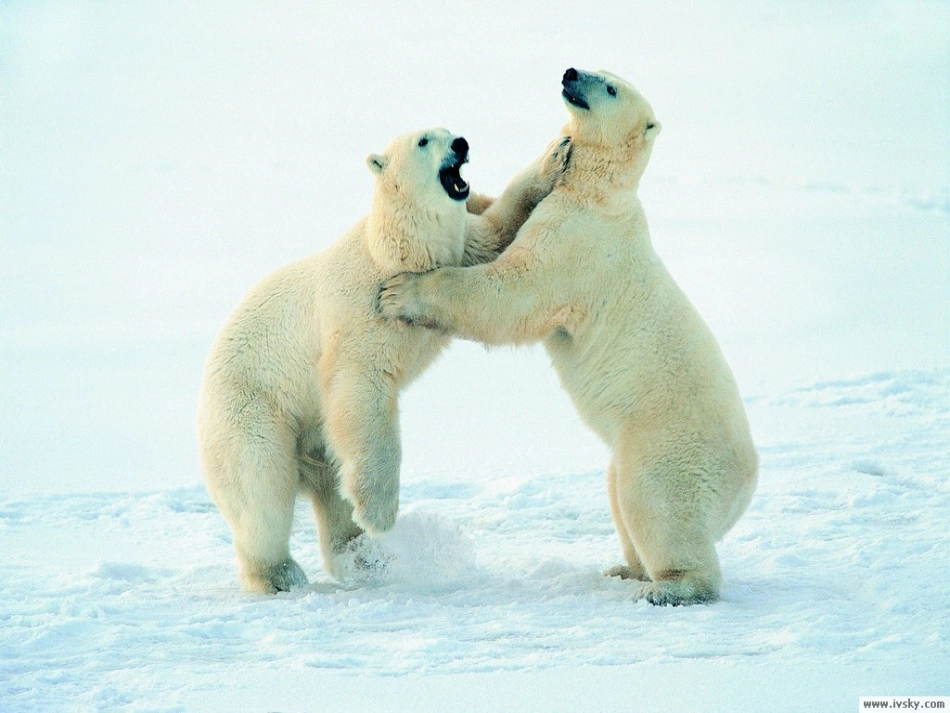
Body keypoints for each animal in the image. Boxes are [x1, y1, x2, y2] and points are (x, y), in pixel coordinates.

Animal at [200, 129, 568, 596]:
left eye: (450, 130)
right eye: (424, 140)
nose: (461, 144)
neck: (394, 251)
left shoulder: (461, 250)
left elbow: (493, 233)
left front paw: (555, 158)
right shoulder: (360, 314)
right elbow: (361, 389)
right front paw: (380, 514)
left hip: (316, 441)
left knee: (333, 490)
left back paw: (364, 557)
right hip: (252, 411)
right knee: (262, 489)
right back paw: (279, 574)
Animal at [380, 69, 760, 608]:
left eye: (612, 88)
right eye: (596, 69)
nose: (570, 73)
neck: (600, 194)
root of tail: (745, 485)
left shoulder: (575, 243)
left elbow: (512, 293)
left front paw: (402, 292)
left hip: (670, 447)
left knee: (655, 504)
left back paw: (669, 586)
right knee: (619, 494)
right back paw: (626, 569)